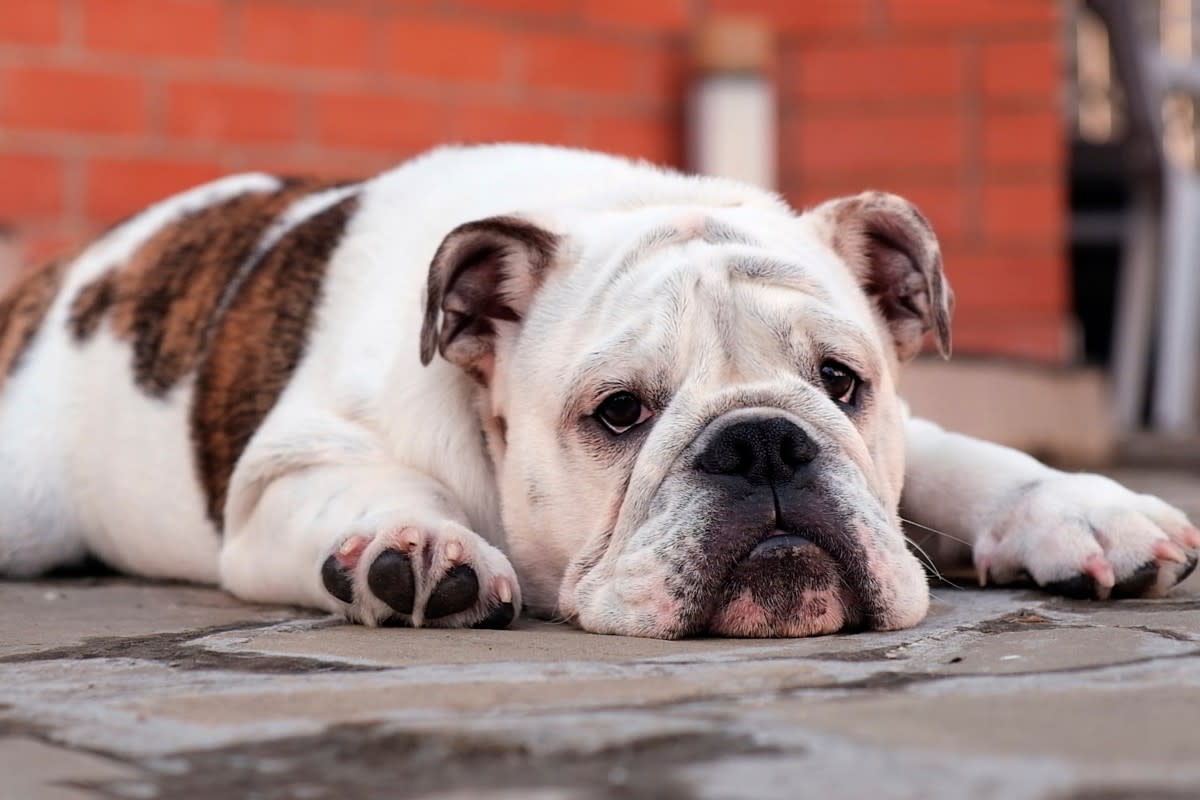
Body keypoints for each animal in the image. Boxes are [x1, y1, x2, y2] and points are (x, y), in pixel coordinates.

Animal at [0, 145, 1195, 638]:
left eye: (842, 381)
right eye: (620, 412)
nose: (763, 442)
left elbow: (966, 459)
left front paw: (1088, 509)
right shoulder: (285, 476)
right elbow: (375, 489)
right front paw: (418, 547)